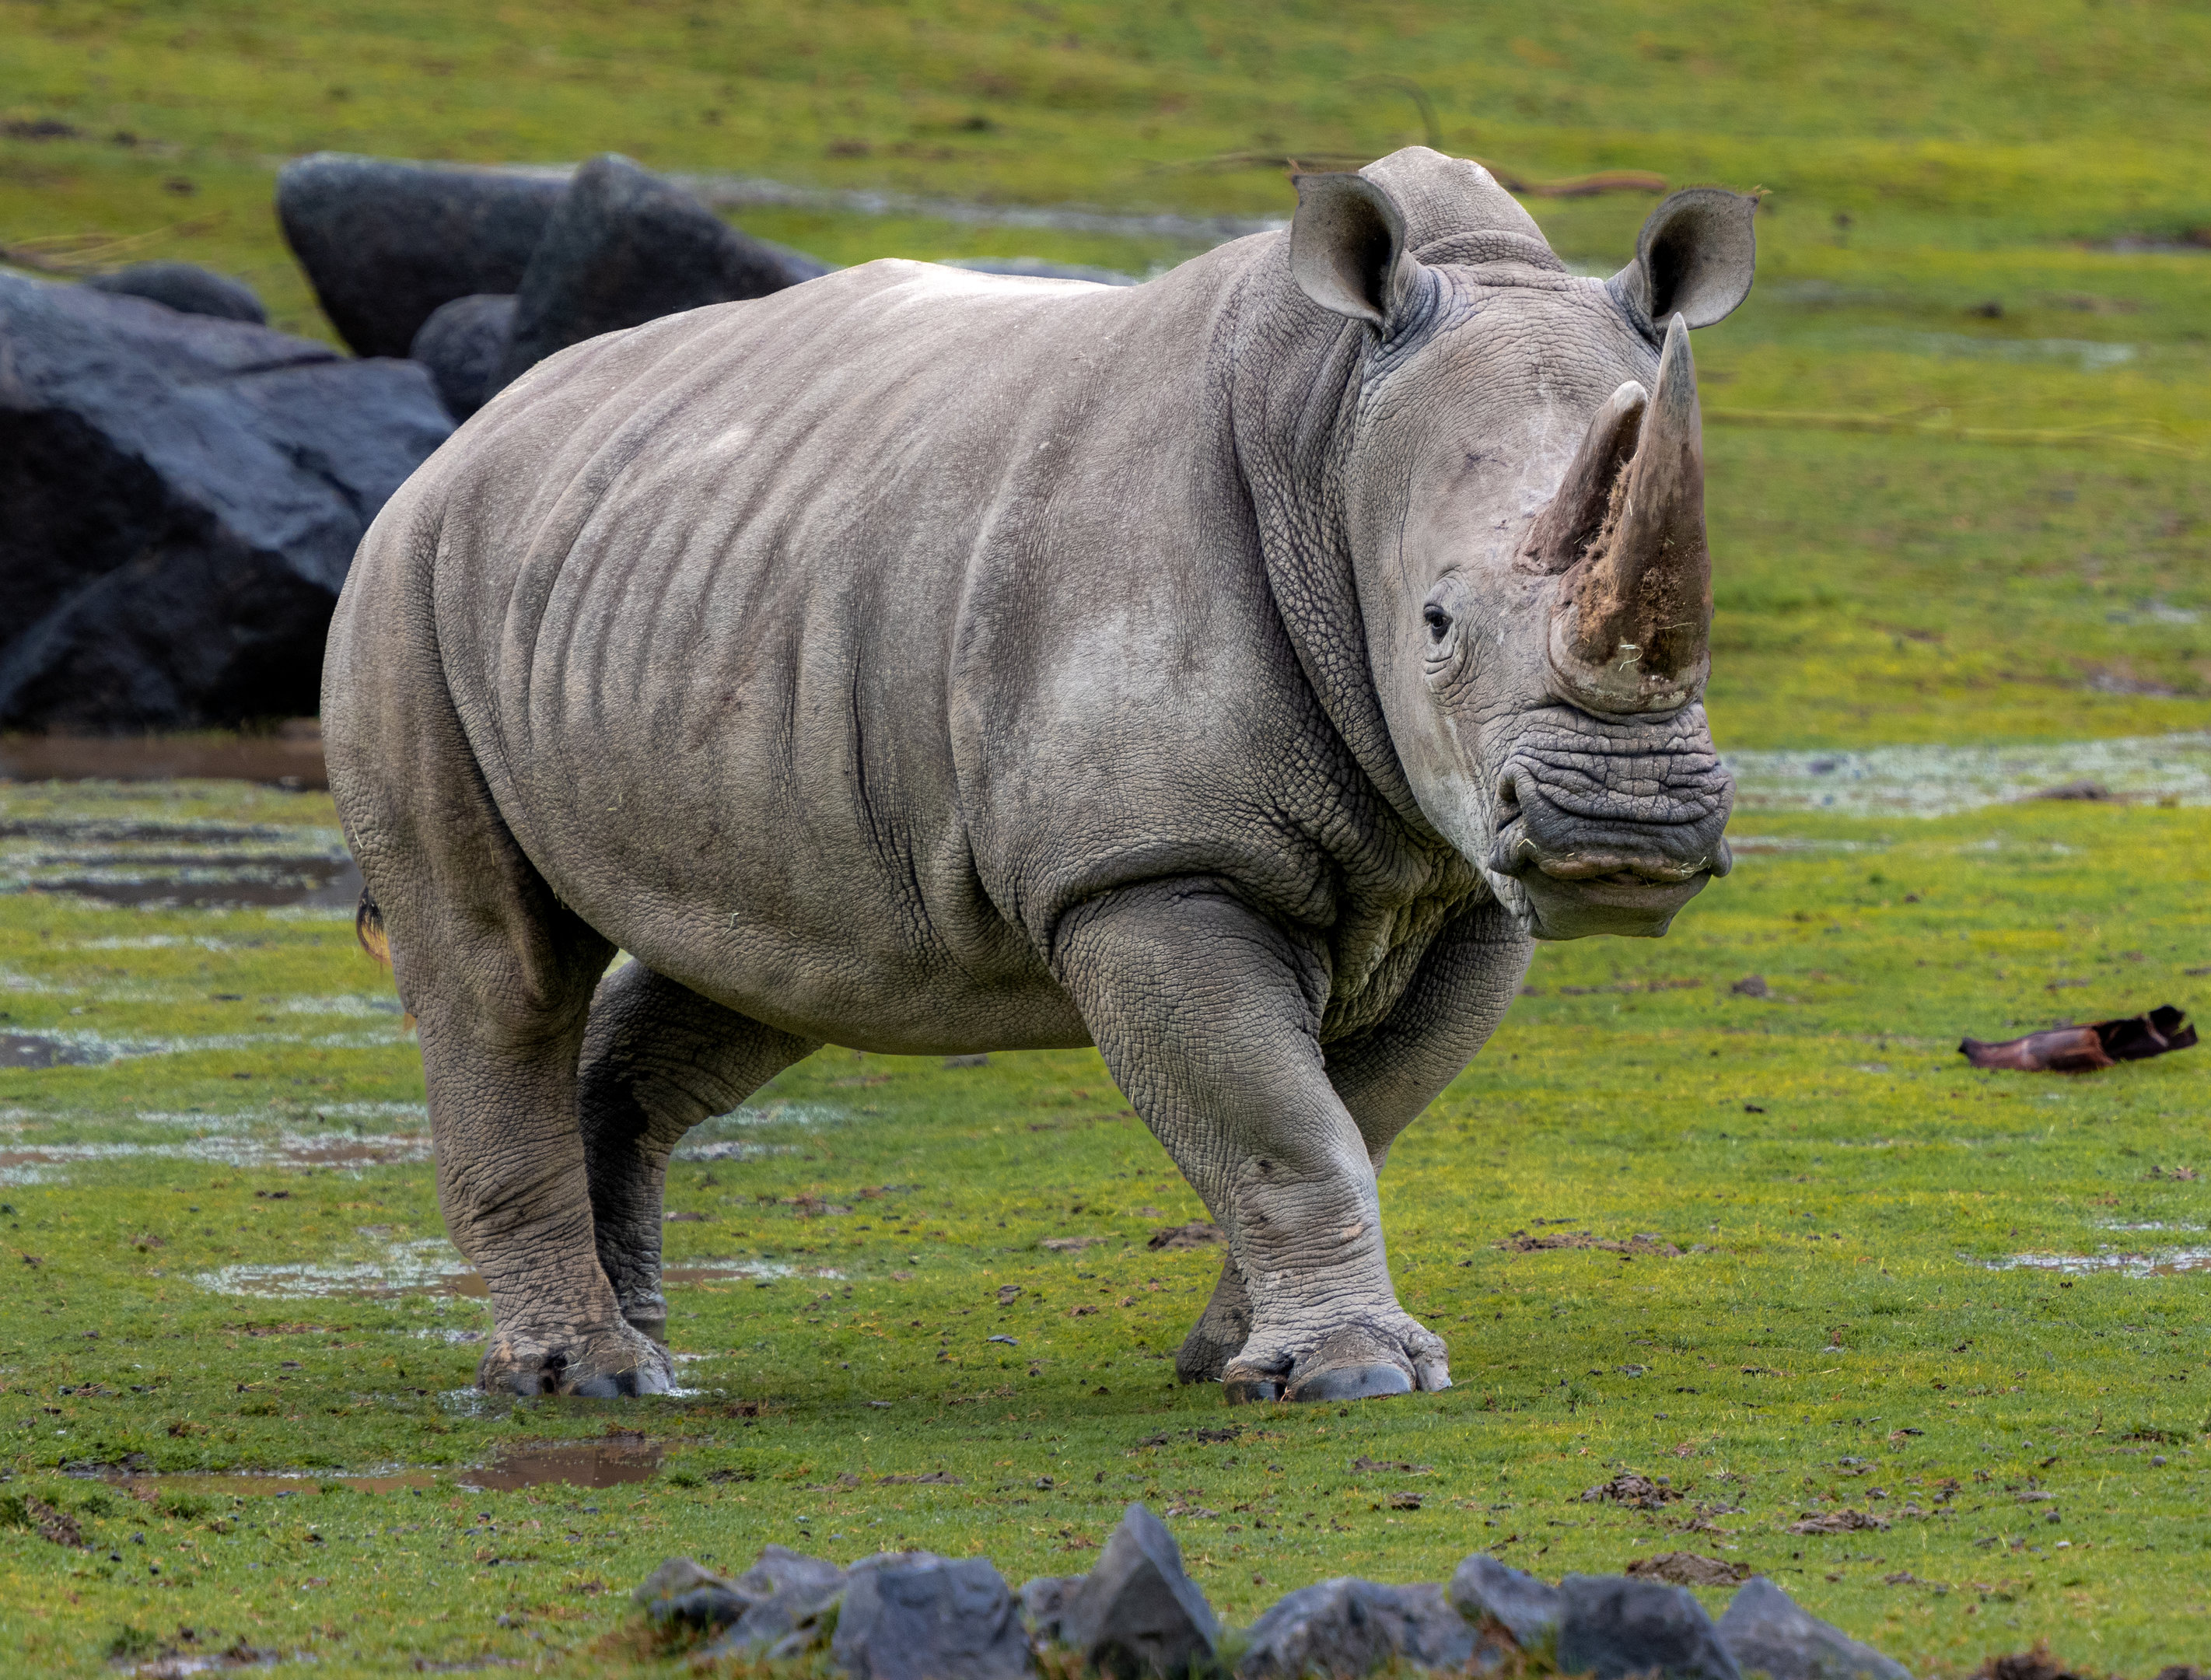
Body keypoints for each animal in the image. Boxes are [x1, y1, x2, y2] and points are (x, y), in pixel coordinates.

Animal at [323, 147, 1753, 1404]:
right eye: (1436, 625)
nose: (1623, 828)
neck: (1334, 433)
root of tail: (473, 433)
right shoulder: (1148, 866)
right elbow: (1281, 1123)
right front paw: (1351, 1376)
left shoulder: (1456, 877)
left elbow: (1355, 1114)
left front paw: (1235, 1359)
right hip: (409, 581)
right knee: (497, 974)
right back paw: (581, 1381)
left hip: (696, 569)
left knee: (759, 953)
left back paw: (639, 1364)